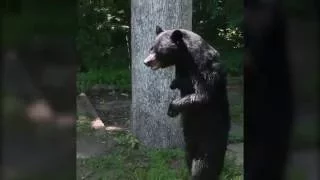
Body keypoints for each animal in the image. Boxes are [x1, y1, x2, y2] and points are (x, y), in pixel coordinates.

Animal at [144, 25, 231, 180]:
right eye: (151, 48)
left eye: (158, 49)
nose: (146, 62)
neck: (186, 56)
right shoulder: (181, 66)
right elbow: (182, 83)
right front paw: (175, 84)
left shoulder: (203, 66)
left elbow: (203, 94)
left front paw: (172, 108)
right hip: (189, 138)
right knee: (189, 156)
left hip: (211, 135)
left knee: (204, 163)